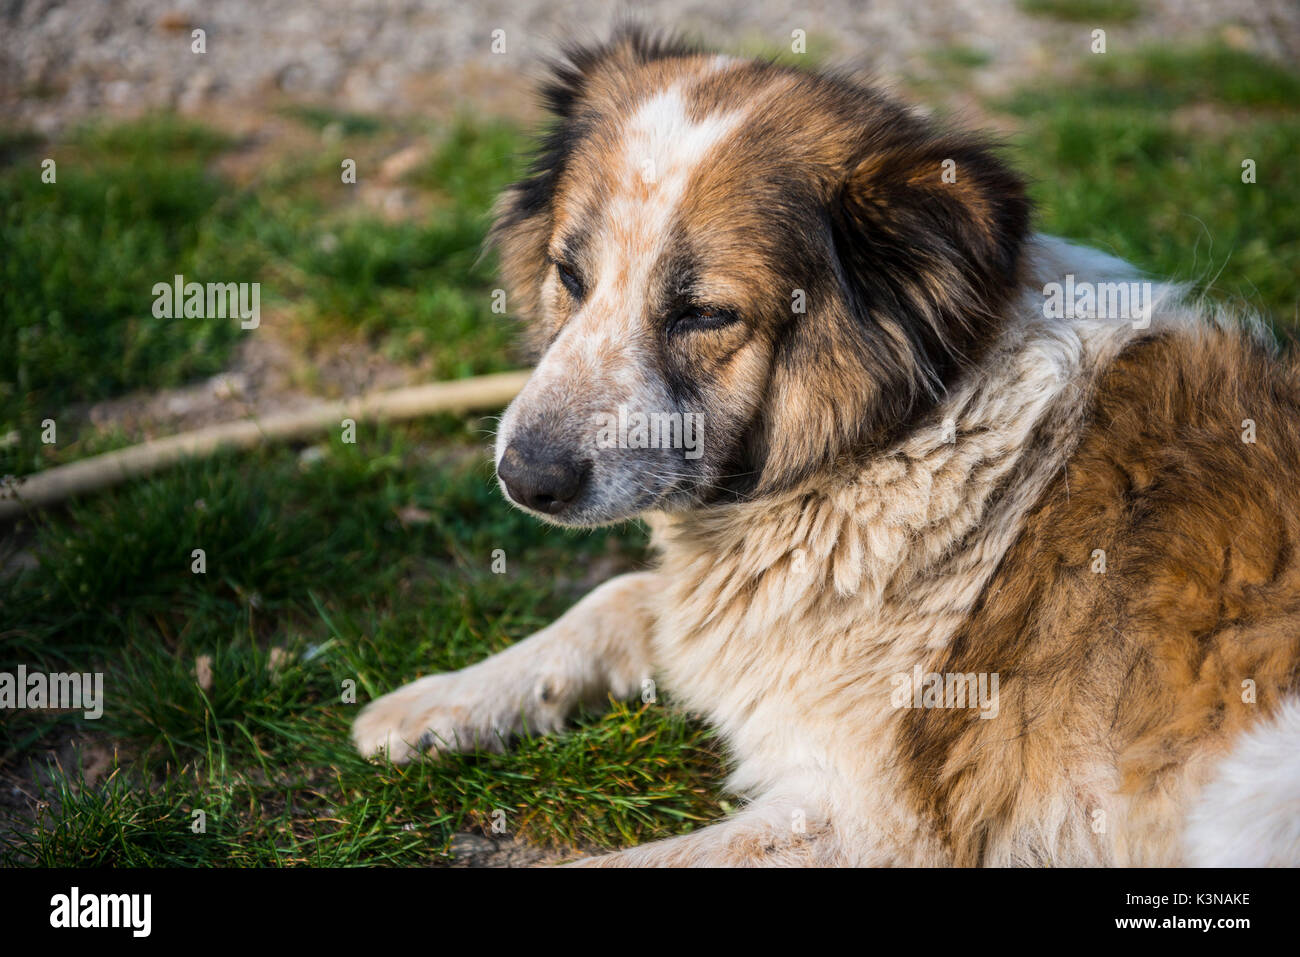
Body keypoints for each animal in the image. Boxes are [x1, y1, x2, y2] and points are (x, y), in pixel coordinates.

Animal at [351, 29, 1300, 868]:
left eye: (705, 313)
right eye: (569, 276)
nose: (524, 478)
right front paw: (438, 700)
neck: (910, 439)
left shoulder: (870, 821)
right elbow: (619, 596)